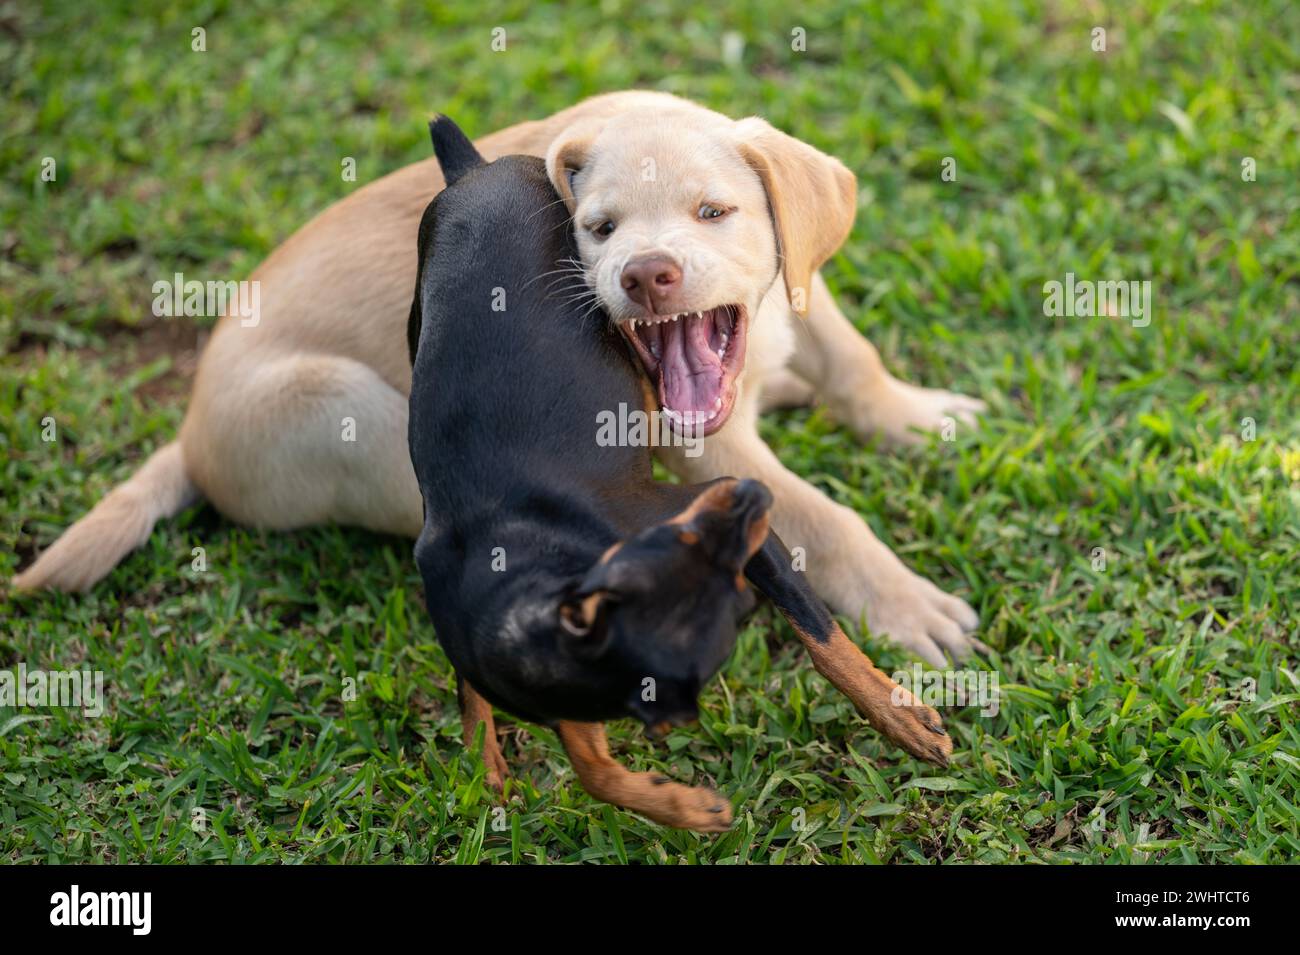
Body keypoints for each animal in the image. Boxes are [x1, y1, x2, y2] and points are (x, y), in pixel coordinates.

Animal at [410, 115, 951, 831]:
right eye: (601, 228)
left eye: (713, 212)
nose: (645, 272)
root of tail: (474, 168)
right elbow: (590, 765)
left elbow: (822, 631)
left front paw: (900, 714)